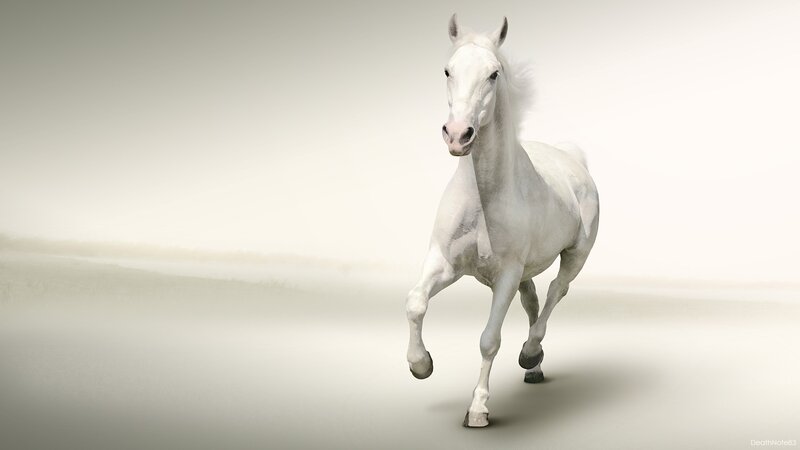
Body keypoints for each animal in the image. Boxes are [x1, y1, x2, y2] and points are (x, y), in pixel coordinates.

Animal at [405, 14, 600, 428]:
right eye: (448, 70)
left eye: (493, 74)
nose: (458, 135)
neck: (483, 199)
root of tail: (572, 158)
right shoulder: (444, 262)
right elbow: (415, 302)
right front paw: (420, 365)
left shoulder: (506, 275)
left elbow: (489, 339)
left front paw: (478, 409)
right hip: (527, 271)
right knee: (533, 300)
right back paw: (534, 368)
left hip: (575, 255)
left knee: (557, 291)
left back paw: (530, 353)